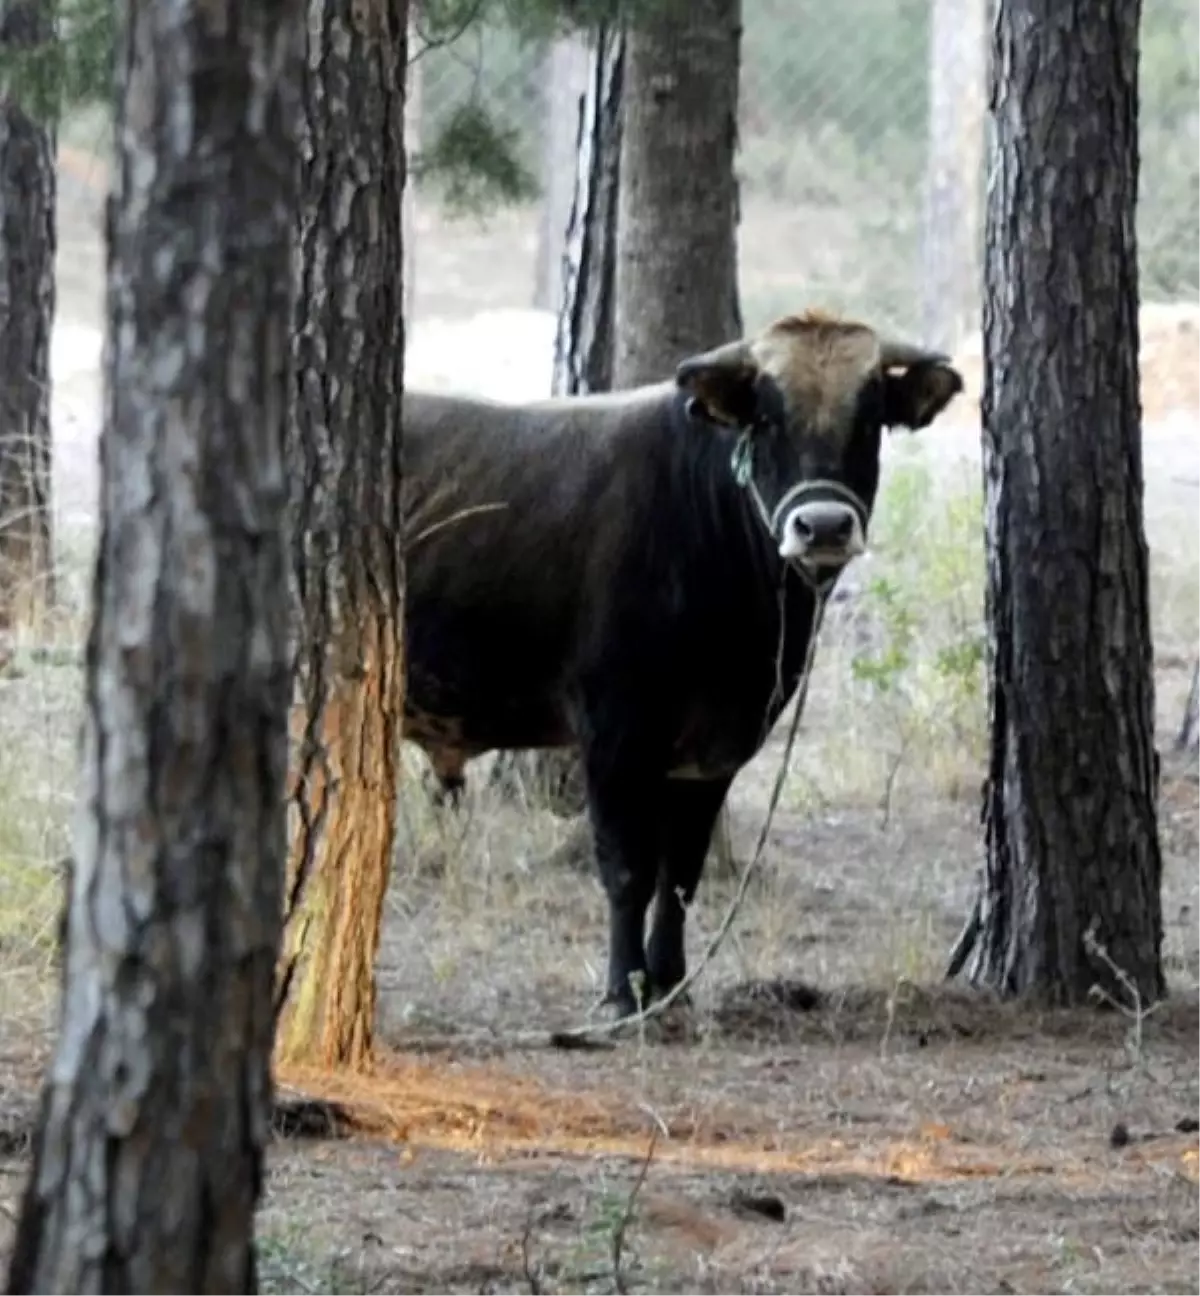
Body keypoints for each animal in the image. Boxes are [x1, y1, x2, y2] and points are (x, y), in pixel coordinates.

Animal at [404, 308, 969, 1016]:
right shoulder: (614, 731)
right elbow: (628, 869)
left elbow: (681, 872)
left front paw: (671, 984)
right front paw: (623, 992)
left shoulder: (711, 751)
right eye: (767, 418)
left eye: (868, 420)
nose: (823, 526)